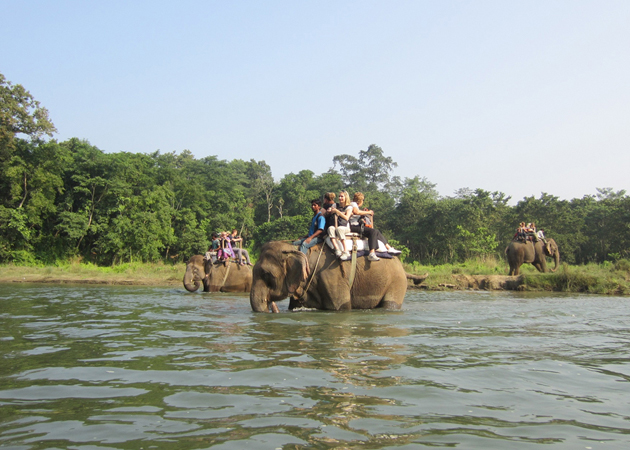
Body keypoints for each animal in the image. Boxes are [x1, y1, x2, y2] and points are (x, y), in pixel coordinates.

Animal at [249, 241, 412, 312]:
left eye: (266, 274)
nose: (270, 303)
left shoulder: (332, 277)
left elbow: (341, 307)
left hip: (397, 282)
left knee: (390, 304)